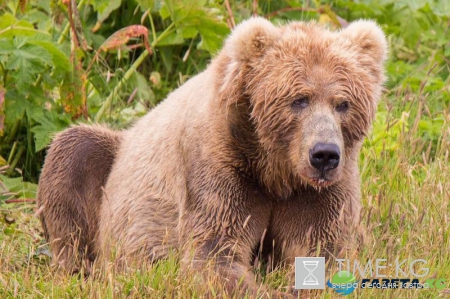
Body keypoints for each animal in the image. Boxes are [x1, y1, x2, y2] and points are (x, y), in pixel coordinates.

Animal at [37, 17, 386, 296]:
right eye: (299, 99)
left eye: (343, 103)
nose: (324, 154)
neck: (275, 171)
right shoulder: (220, 167)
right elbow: (213, 255)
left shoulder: (321, 192)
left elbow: (323, 248)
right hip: (108, 166)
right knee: (73, 153)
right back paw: (82, 269)